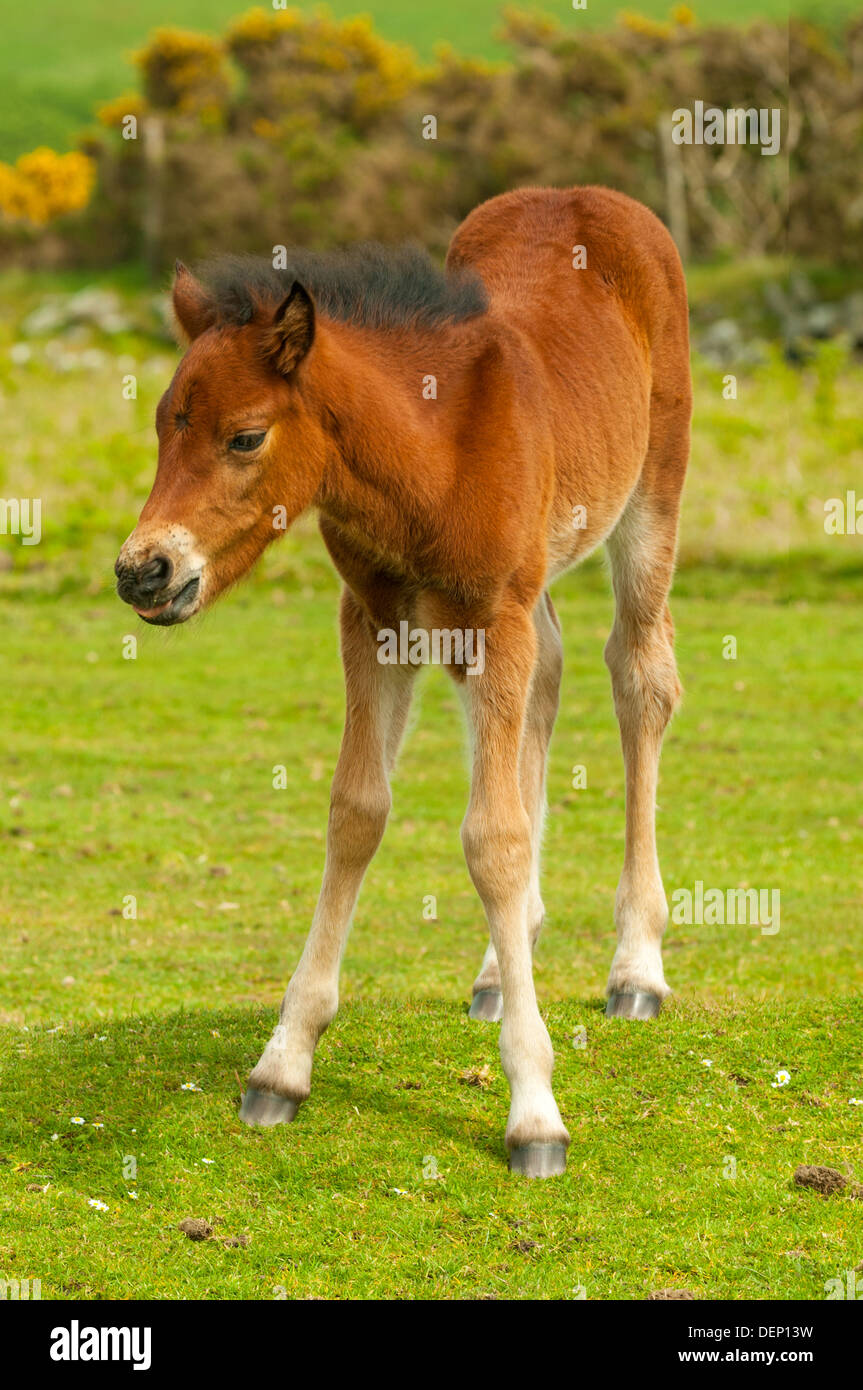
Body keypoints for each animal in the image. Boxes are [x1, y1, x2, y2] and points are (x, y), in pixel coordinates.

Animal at [115, 185, 691, 1178]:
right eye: (162, 426)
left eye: (245, 436)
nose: (143, 572)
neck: (430, 450)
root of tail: (587, 195)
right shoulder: (374, 616)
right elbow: (357, 811)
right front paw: (283, 1063)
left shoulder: (490, 614)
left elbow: (492, 838)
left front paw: (534, 1111)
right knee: (549, 675)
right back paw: (504, 964)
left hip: (650, 496)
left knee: (639, 678)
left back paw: (635, 967)